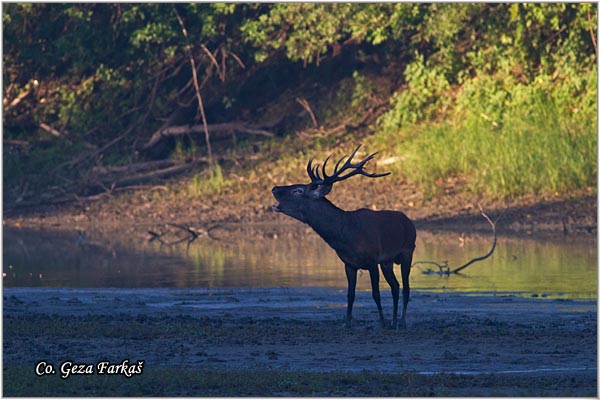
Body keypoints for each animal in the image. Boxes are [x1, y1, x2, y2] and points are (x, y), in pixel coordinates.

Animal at [270, 145, 414, 328]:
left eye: (298, 190)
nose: (274, 188)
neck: (345, 237)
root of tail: (409, 222)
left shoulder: (372, 260)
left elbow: (376, 294)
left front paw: (381, 321)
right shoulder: (349, 264)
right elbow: (350, 295)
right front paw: (347, 322)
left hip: (408, 252)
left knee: (406, 288)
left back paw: (401, 321)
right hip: (387, 262)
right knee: (395, 286)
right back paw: (394, 320)